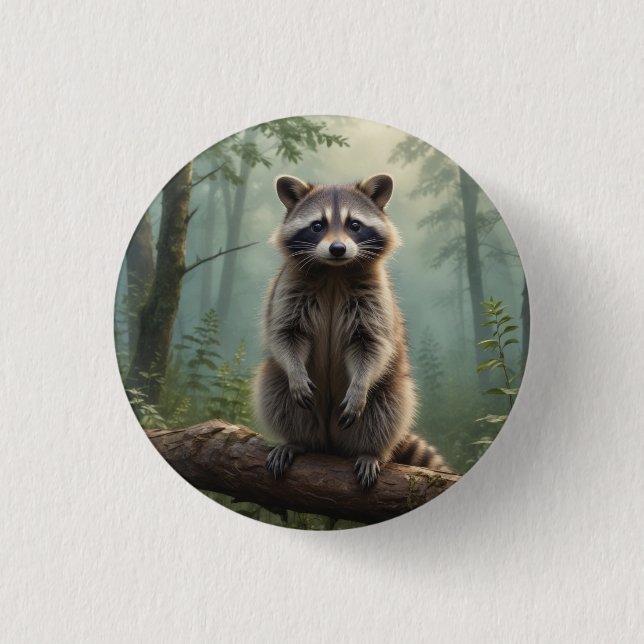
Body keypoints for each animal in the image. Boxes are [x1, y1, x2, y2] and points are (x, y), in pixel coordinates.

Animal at [253, 173, 449, 489]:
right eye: (317, 226)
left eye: (354, 225)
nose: (337, 249)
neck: (335, 271)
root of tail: (330, 442)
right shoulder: (287, 287)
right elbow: (285, 335)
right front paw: (296, 372)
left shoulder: (376, 298)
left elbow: (372, 345)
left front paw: (359, 387)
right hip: (285, 391)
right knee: (274, 389)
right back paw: (296, 441)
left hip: (389, 390)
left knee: (390, 408)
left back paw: (372, 451)